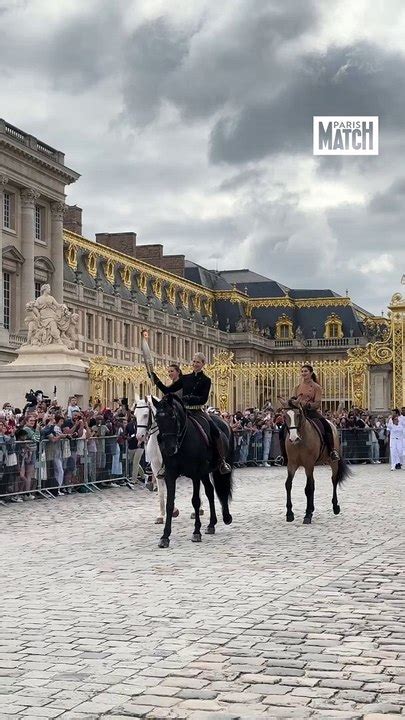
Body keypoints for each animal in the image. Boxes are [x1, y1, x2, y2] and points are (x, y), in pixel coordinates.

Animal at [133, 396, 202, 524]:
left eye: (145, 415)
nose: (139, 437)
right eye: (135, 415)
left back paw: (198, 510)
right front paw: (162, 515)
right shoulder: (156, 467)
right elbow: (161, 491)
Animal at [152, 390, 234, 548]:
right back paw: (211, 524)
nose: (169, 448)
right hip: (205, 473)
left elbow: (195, 500)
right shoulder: (170, 475)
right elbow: (169, 504)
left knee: (222, 487)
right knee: (210, 491)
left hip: (217, 467)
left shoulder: (195, 474)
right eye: (157, 418)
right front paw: (165, 536)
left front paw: (196, 532)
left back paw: (226, 517)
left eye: (172, 416)